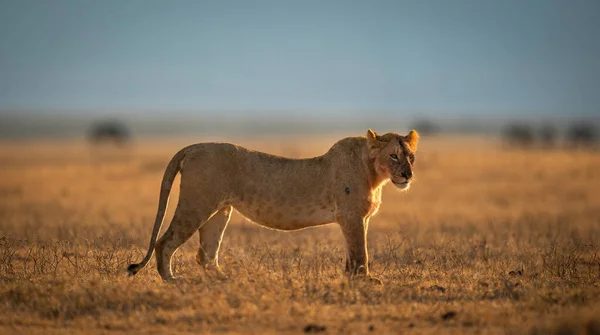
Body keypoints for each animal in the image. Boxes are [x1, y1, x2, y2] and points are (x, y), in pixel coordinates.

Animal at [126, 129, 418, 284]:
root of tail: (192, 146)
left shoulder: (355, 218)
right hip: (196, 205)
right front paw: (365, 282)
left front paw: (349, 280)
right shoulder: (352, 216)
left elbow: (351, 253)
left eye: (411, 157)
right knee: (164, 242)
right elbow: (360, 252)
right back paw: (174, 281)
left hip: (219, 211)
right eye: (394, 156)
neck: (374, 173)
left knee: (206, 255)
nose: (408, 175)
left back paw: (227, 279)